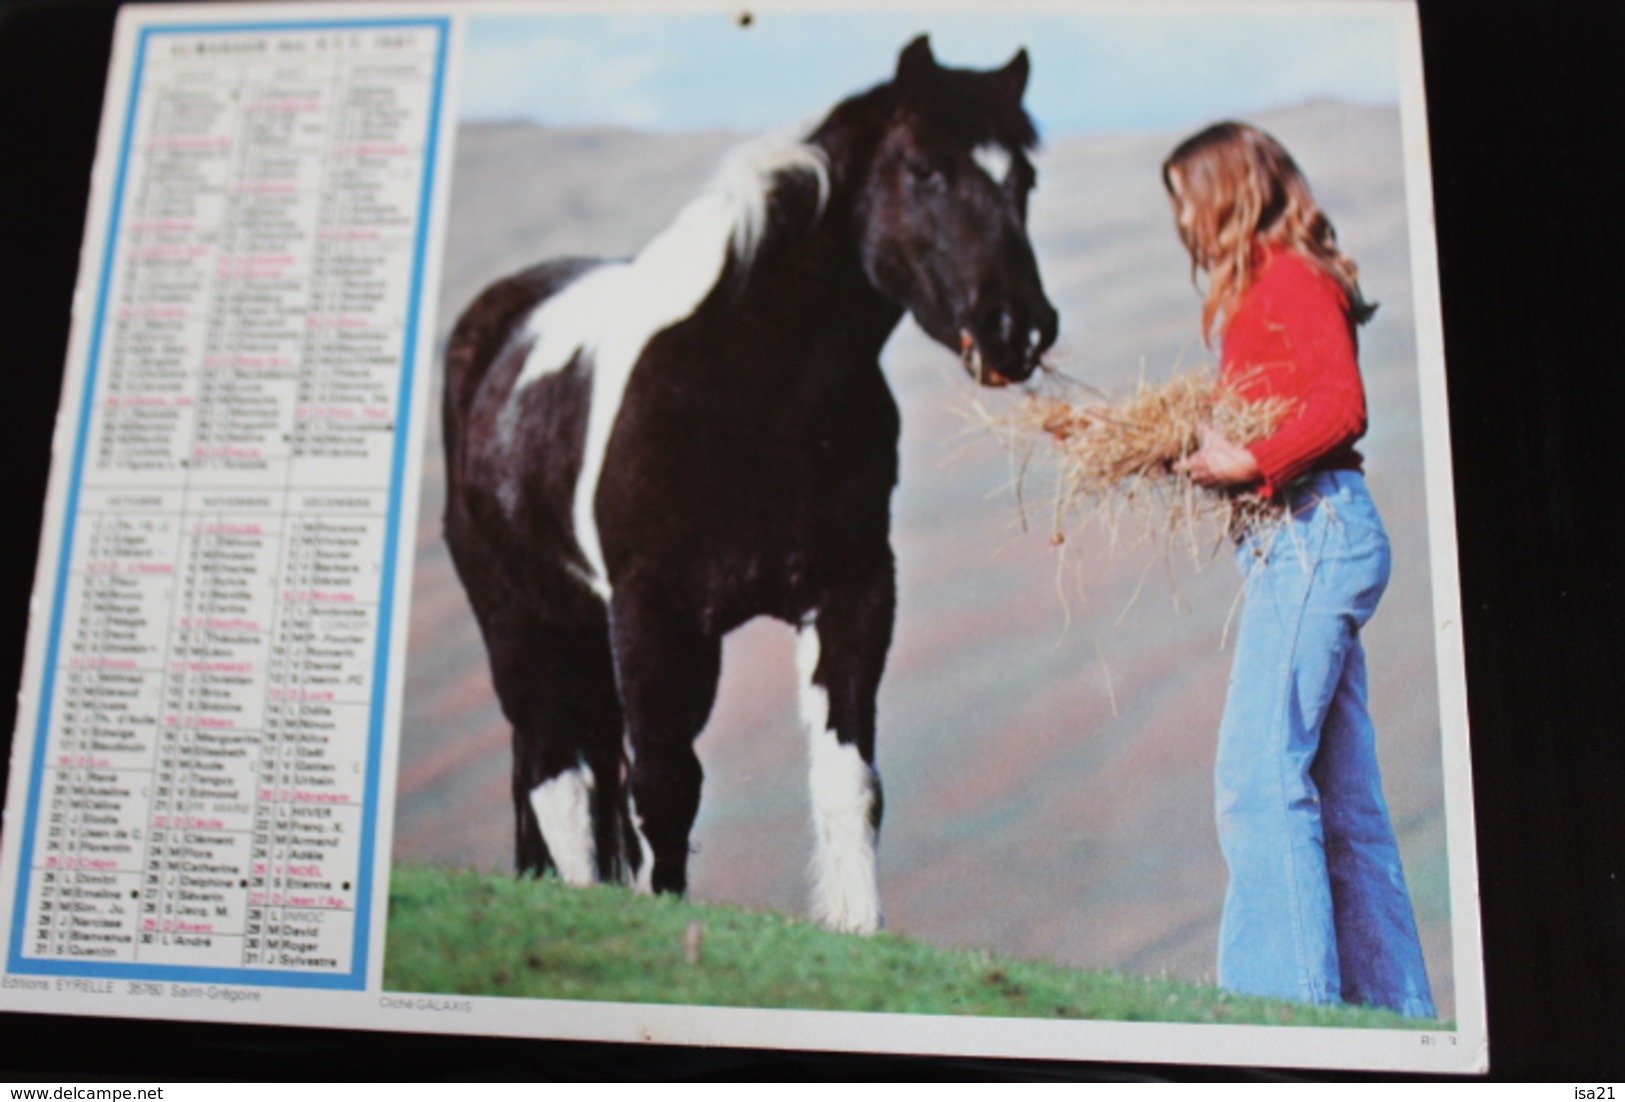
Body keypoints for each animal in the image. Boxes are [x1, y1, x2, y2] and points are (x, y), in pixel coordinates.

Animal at [438, 36, 1059, 929]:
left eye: (1024, 180)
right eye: (924, 169)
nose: (1017, 328)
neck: (752, 387)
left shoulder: (851, 594)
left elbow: (849, 782)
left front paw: (857, 929)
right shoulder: (653, 615)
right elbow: (664, 786)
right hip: (519, 621)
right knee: (559, 779)